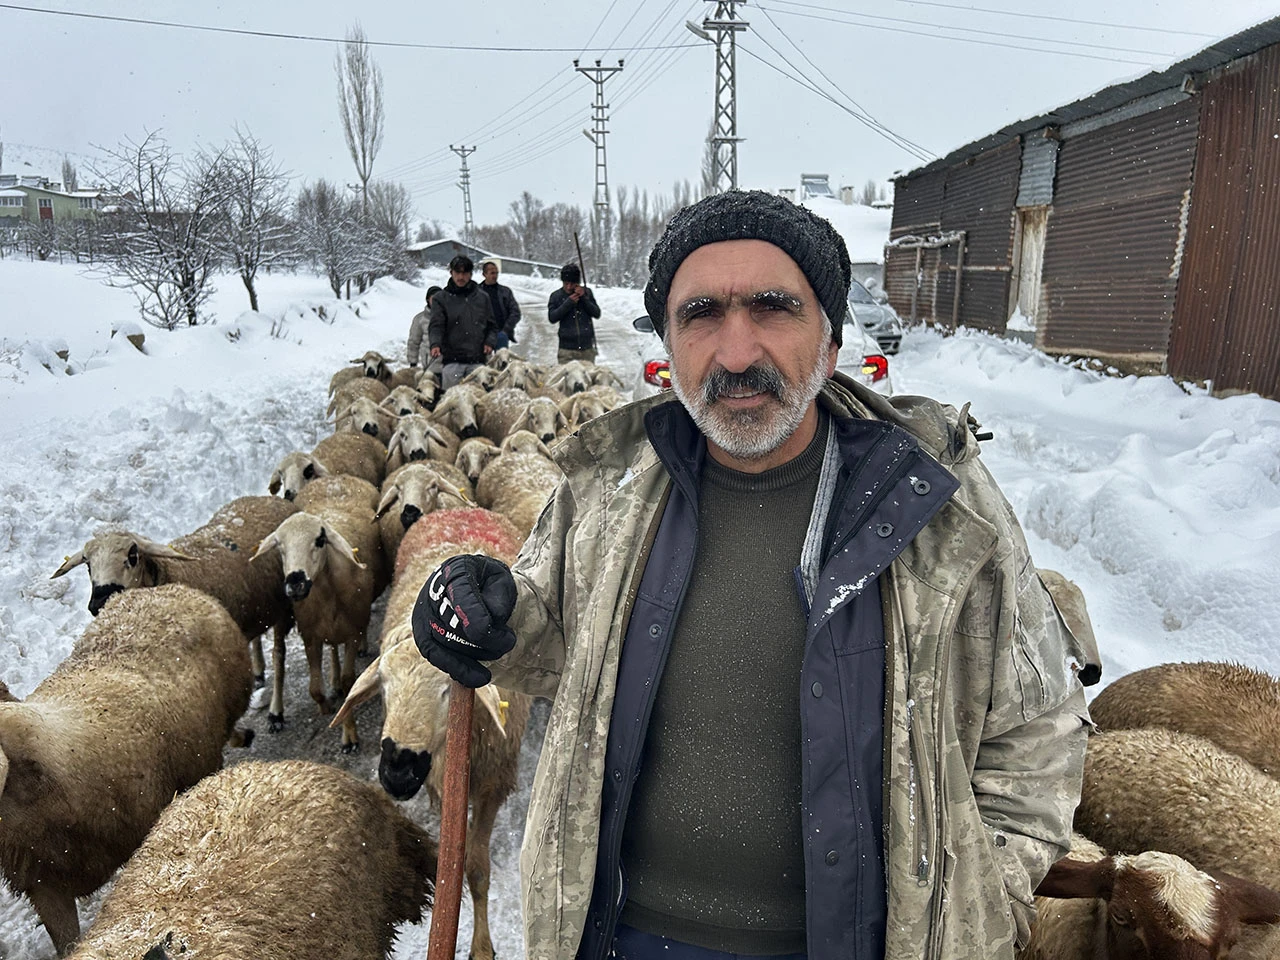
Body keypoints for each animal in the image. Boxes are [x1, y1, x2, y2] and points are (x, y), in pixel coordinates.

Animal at [250, 473, 384, 752]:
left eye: (320, 540)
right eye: (279, 546)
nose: (295, 582)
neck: (327, 595)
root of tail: (338, 476)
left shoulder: (353, 632)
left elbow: (349, 682)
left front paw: (349, 735)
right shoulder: (310, 636)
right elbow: (314, 688)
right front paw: (325, 706)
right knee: (280, 654)